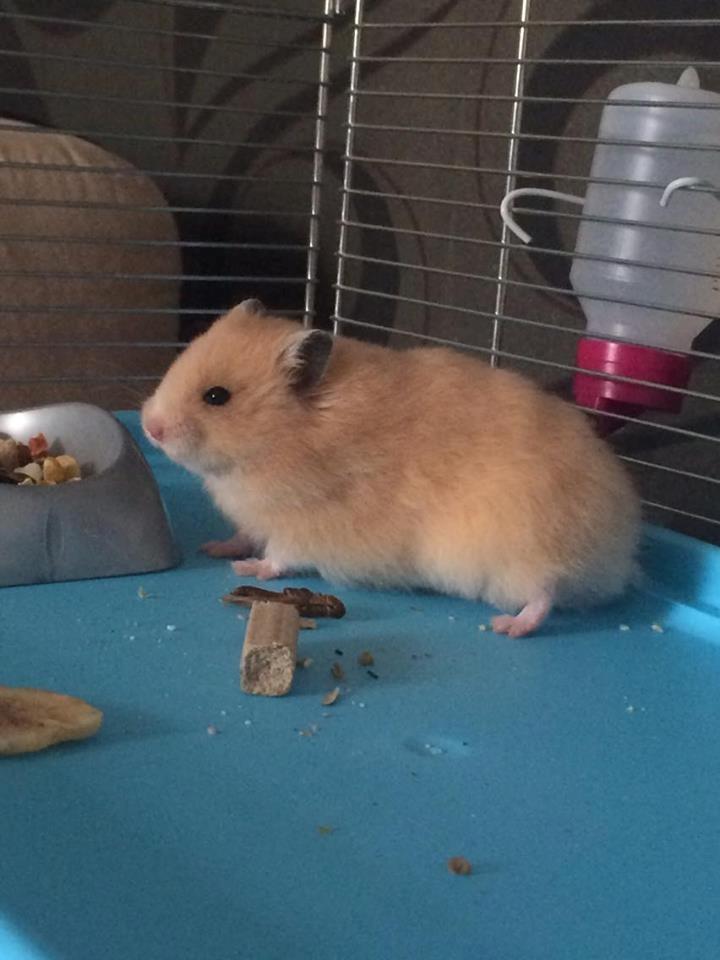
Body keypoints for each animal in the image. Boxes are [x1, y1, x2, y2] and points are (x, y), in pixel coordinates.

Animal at [142, 299, 640, 637]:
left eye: (216, 397)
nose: (150, 426)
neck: (277, 444)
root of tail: (619, 546)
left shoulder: (303, 524)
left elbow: (279, 557)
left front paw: (245, 569)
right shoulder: (257, 518)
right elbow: (243, 534)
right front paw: (215, 548)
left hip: (520, 549)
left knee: (545, 593)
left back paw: (509, 626)